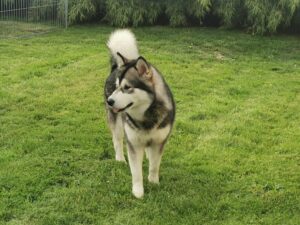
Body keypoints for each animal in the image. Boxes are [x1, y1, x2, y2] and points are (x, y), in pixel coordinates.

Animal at [105, 29, 176, 198]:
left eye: (127, 87)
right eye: (117, 86)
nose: (109, 101)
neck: (147, 115)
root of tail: (115, 67)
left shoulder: (159, 142)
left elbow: (155, 165)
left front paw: (154, 182)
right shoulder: (134, 143)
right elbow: (136, 172)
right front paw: (138, 192)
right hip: (118, 124)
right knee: (117, 140)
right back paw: (120, 158)